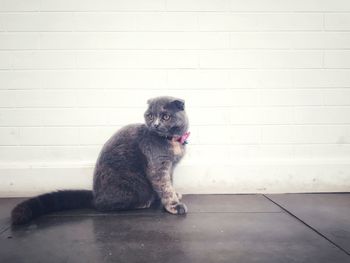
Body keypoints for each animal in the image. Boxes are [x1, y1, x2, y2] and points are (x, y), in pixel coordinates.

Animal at [10, 96, 190, 226]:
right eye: (150, 115)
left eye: (165, 116)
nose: (156, 124)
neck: (173, 141)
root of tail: (94, 195)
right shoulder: (158, 166)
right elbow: (165, 186)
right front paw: (174, 205)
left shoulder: (170, 166)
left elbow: (170, 182)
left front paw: (175, 195)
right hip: (130, 186)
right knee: (103, 206)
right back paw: (143, 202)